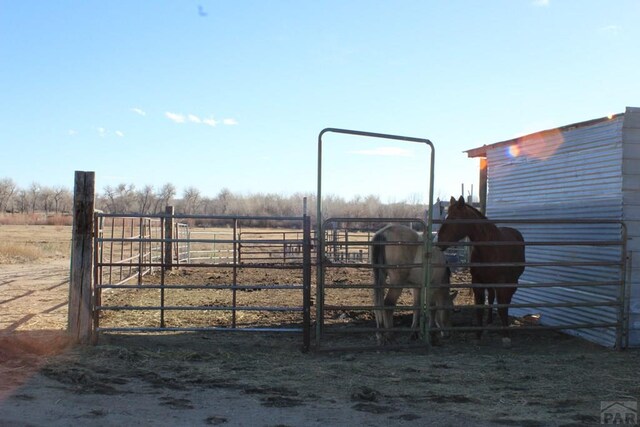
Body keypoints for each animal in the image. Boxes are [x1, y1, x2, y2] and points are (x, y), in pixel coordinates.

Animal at [440, 197, 524, 348]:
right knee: (490, 297)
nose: (439, 241)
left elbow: (502, 306)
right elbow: (479, 308)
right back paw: (489, 322)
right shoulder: (477, 282)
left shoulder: (502, 283)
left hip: (512, 282)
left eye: (454, 218)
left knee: (505, 301)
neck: (489, 249)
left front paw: (506, 336)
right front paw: (478, 335)